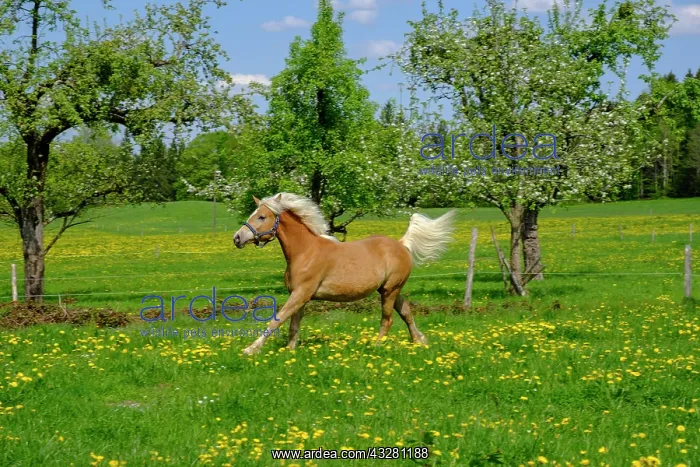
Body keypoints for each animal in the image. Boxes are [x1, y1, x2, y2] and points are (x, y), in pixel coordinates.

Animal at [233, 193, 455, 355]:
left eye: (262, 216)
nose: (237, 238)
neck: (305, 252)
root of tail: (402, 244)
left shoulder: (301, 294)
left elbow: (277, 319)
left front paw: (250, 350)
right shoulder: (299, 296)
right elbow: (293, 325)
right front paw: (290, 351)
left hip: (390, 291)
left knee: (388, 319)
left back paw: (376, 347)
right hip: (390, 289)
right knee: (406, 313)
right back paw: (420, 341)